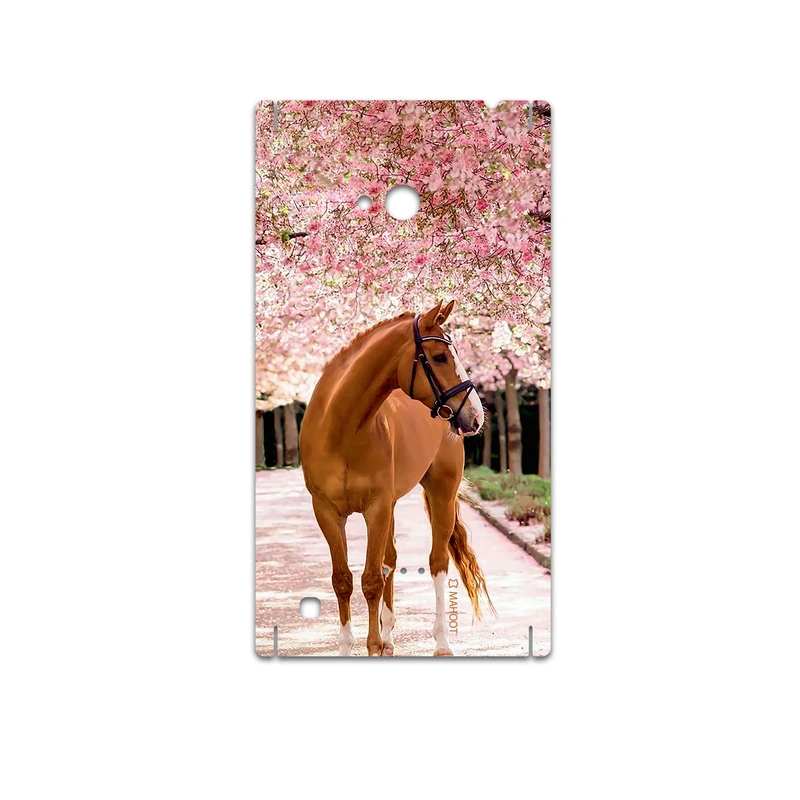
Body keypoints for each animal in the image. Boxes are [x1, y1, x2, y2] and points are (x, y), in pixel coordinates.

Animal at [299, 300, 494, 656]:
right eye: (440, 356)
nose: (475, 415)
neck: (340, 431)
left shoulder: (375, 508)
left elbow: (371, 579)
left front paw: (373, 645)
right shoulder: (327, 512)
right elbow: (343, 580)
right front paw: (354, 645)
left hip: (441, 493)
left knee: (437, 562)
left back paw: (441, 641)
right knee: (390, 559)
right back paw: (389, 636)